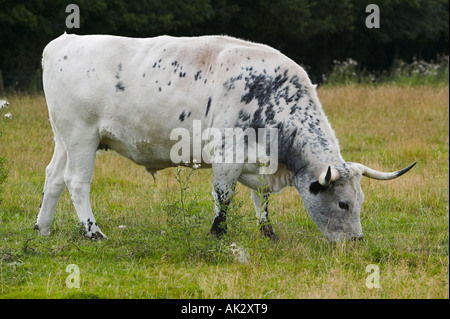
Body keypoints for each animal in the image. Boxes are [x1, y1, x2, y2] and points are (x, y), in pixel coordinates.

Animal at [34, 33, 414, 242]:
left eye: (360, 202)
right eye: (343, 204)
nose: (357, 242)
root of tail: (64, 41)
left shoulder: (260, 162)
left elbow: (261, 197)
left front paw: (267, 232)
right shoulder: (226, 155)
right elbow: (224, 196)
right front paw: (217, 233)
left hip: (63, 137)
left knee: (53, 178)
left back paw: (42, 229)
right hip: (81, 136)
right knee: (76, 182)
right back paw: (93, 232)